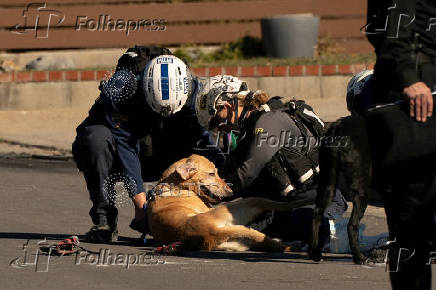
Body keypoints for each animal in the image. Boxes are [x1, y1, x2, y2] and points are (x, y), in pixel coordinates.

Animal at [148, 154, 312, 251]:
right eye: (211, 174)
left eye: (217, 171)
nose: (231, 191)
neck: (177, 186)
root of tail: (210, 231)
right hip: (241, 207)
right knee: (272, 205)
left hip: (235, 241)